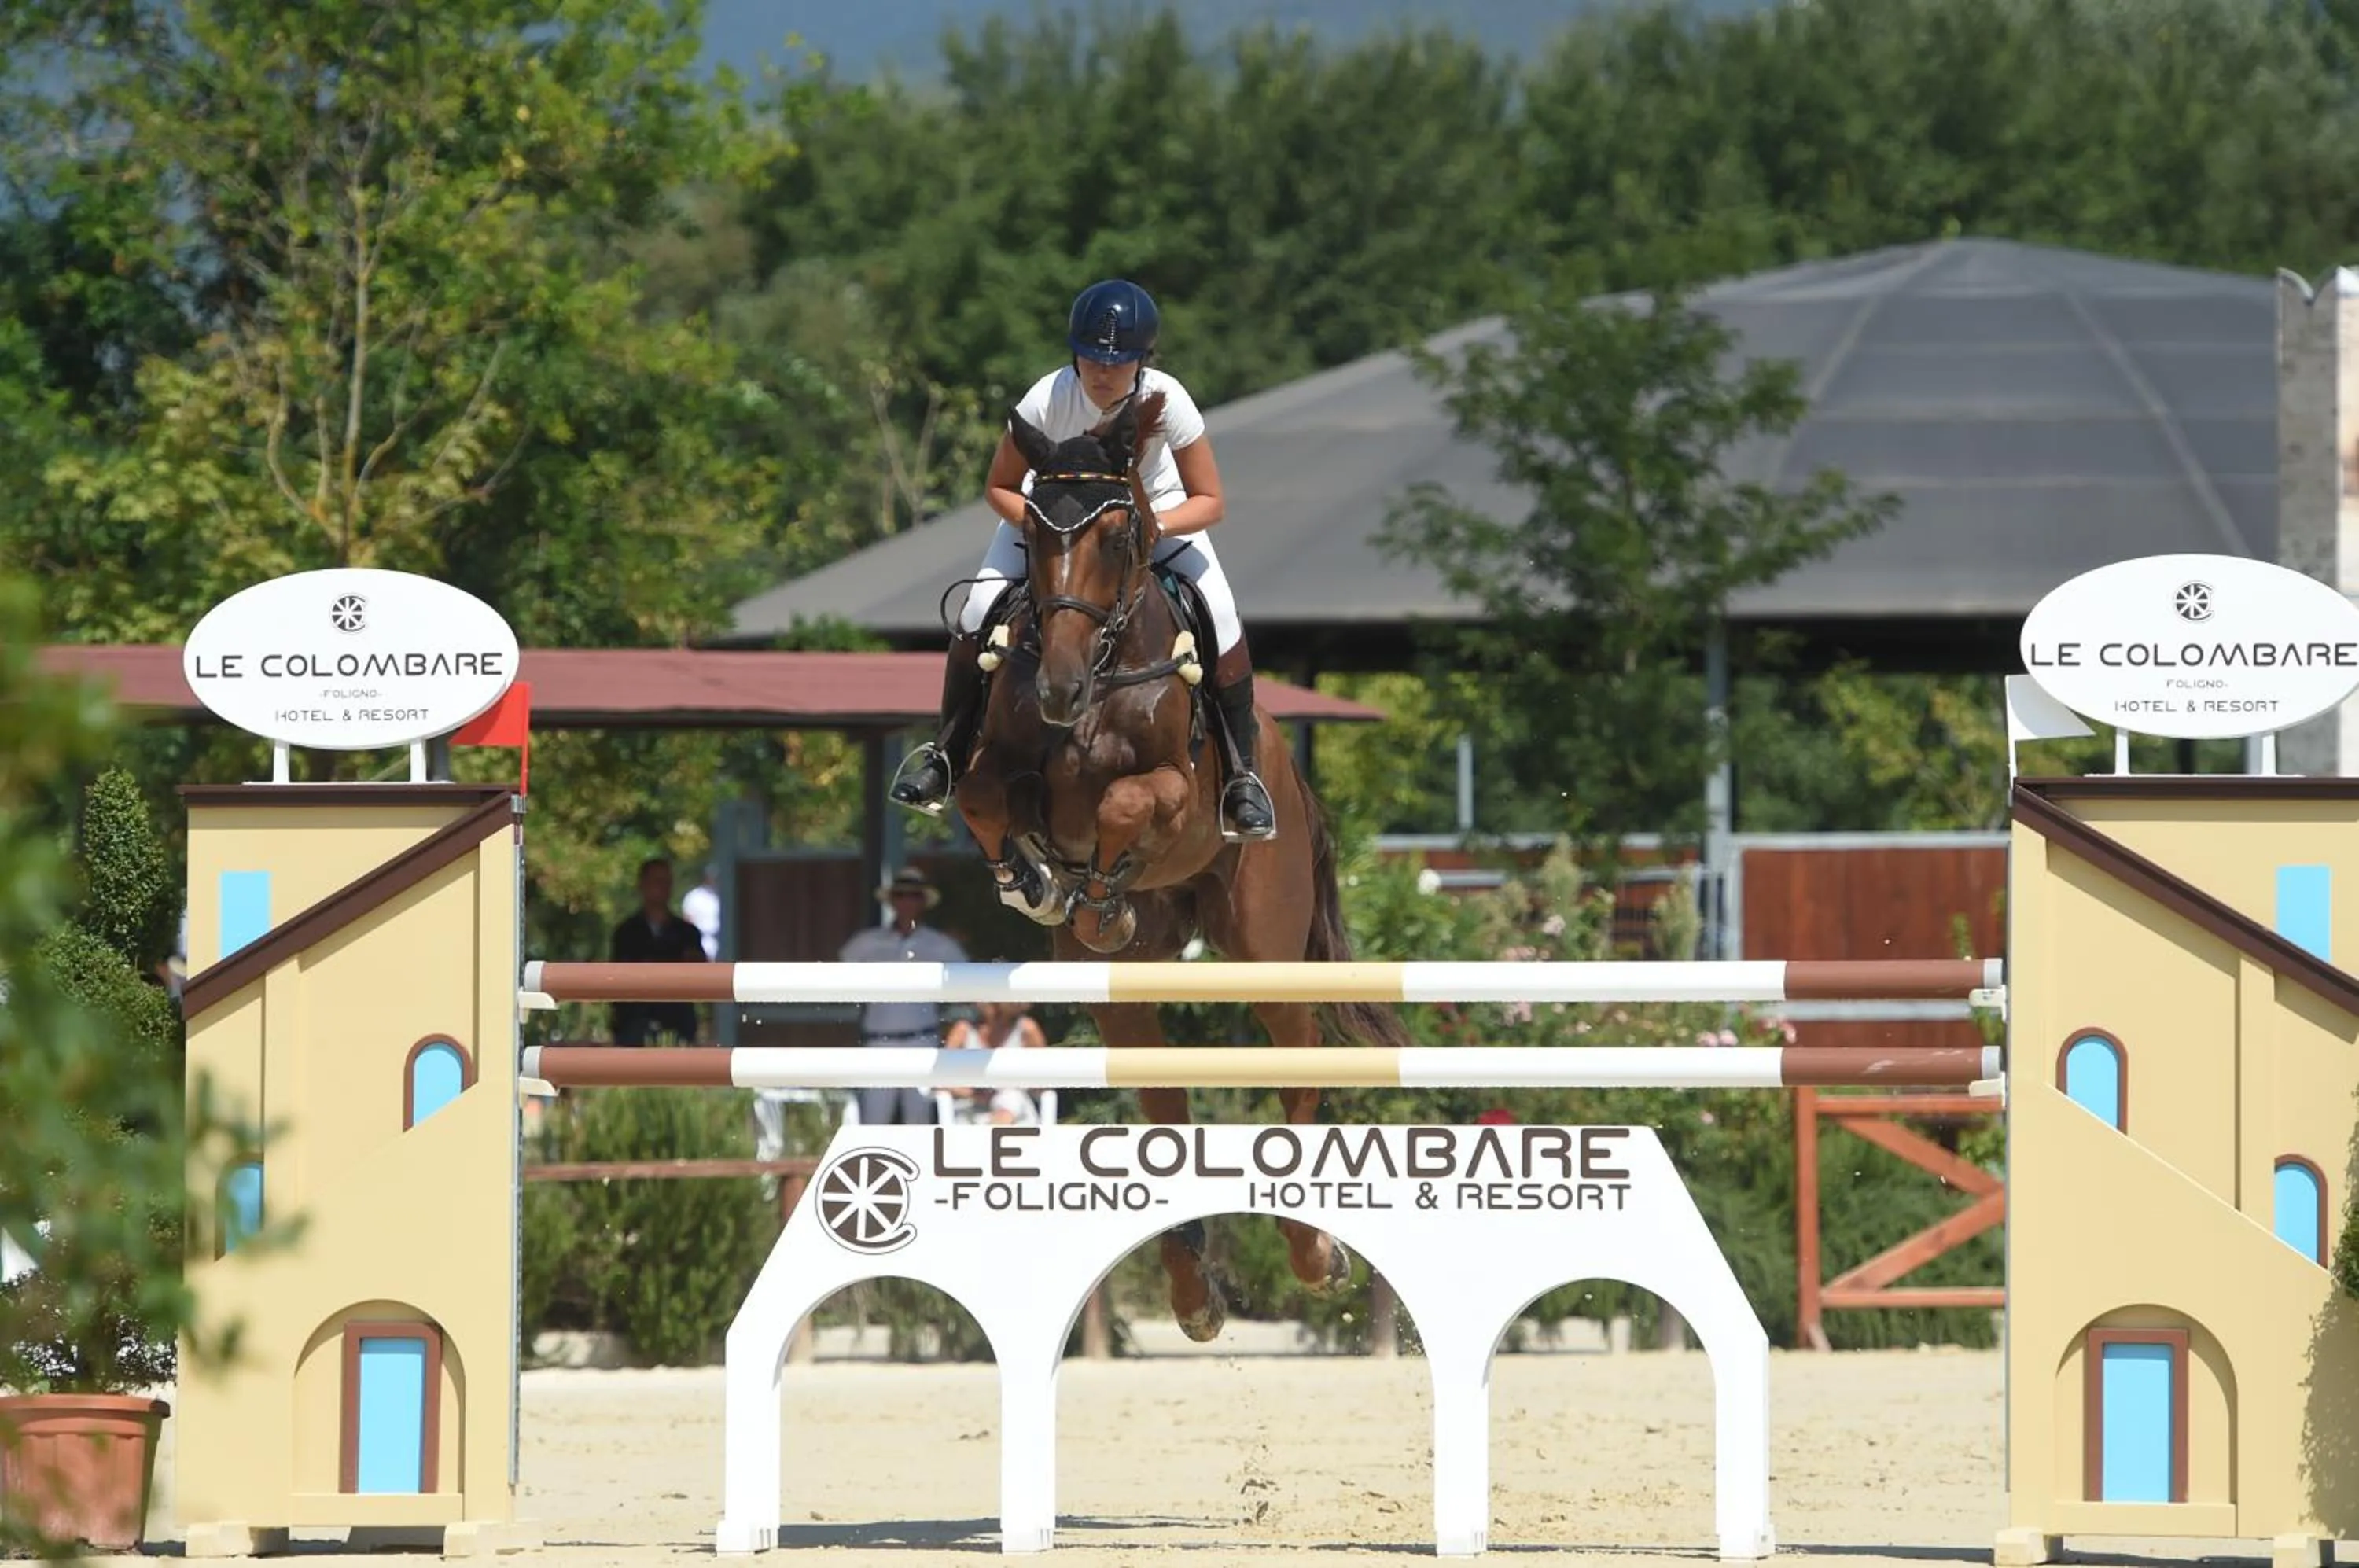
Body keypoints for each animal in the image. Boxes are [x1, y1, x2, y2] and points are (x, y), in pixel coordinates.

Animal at [947, 388, 1415, 1342]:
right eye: (1036, 528)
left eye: (1119, 533)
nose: (1056, 688)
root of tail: (1292, 774)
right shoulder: (995, 764)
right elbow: (985, 799)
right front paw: (1038, 879)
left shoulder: (1167, 785)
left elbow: (1129, 803)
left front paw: (1092, 880)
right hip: (1121, 990)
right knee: (1161, 1094)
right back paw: (1195, 1292)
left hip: (1266, 944)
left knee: (1297, 1064)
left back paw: (1315, 1257)